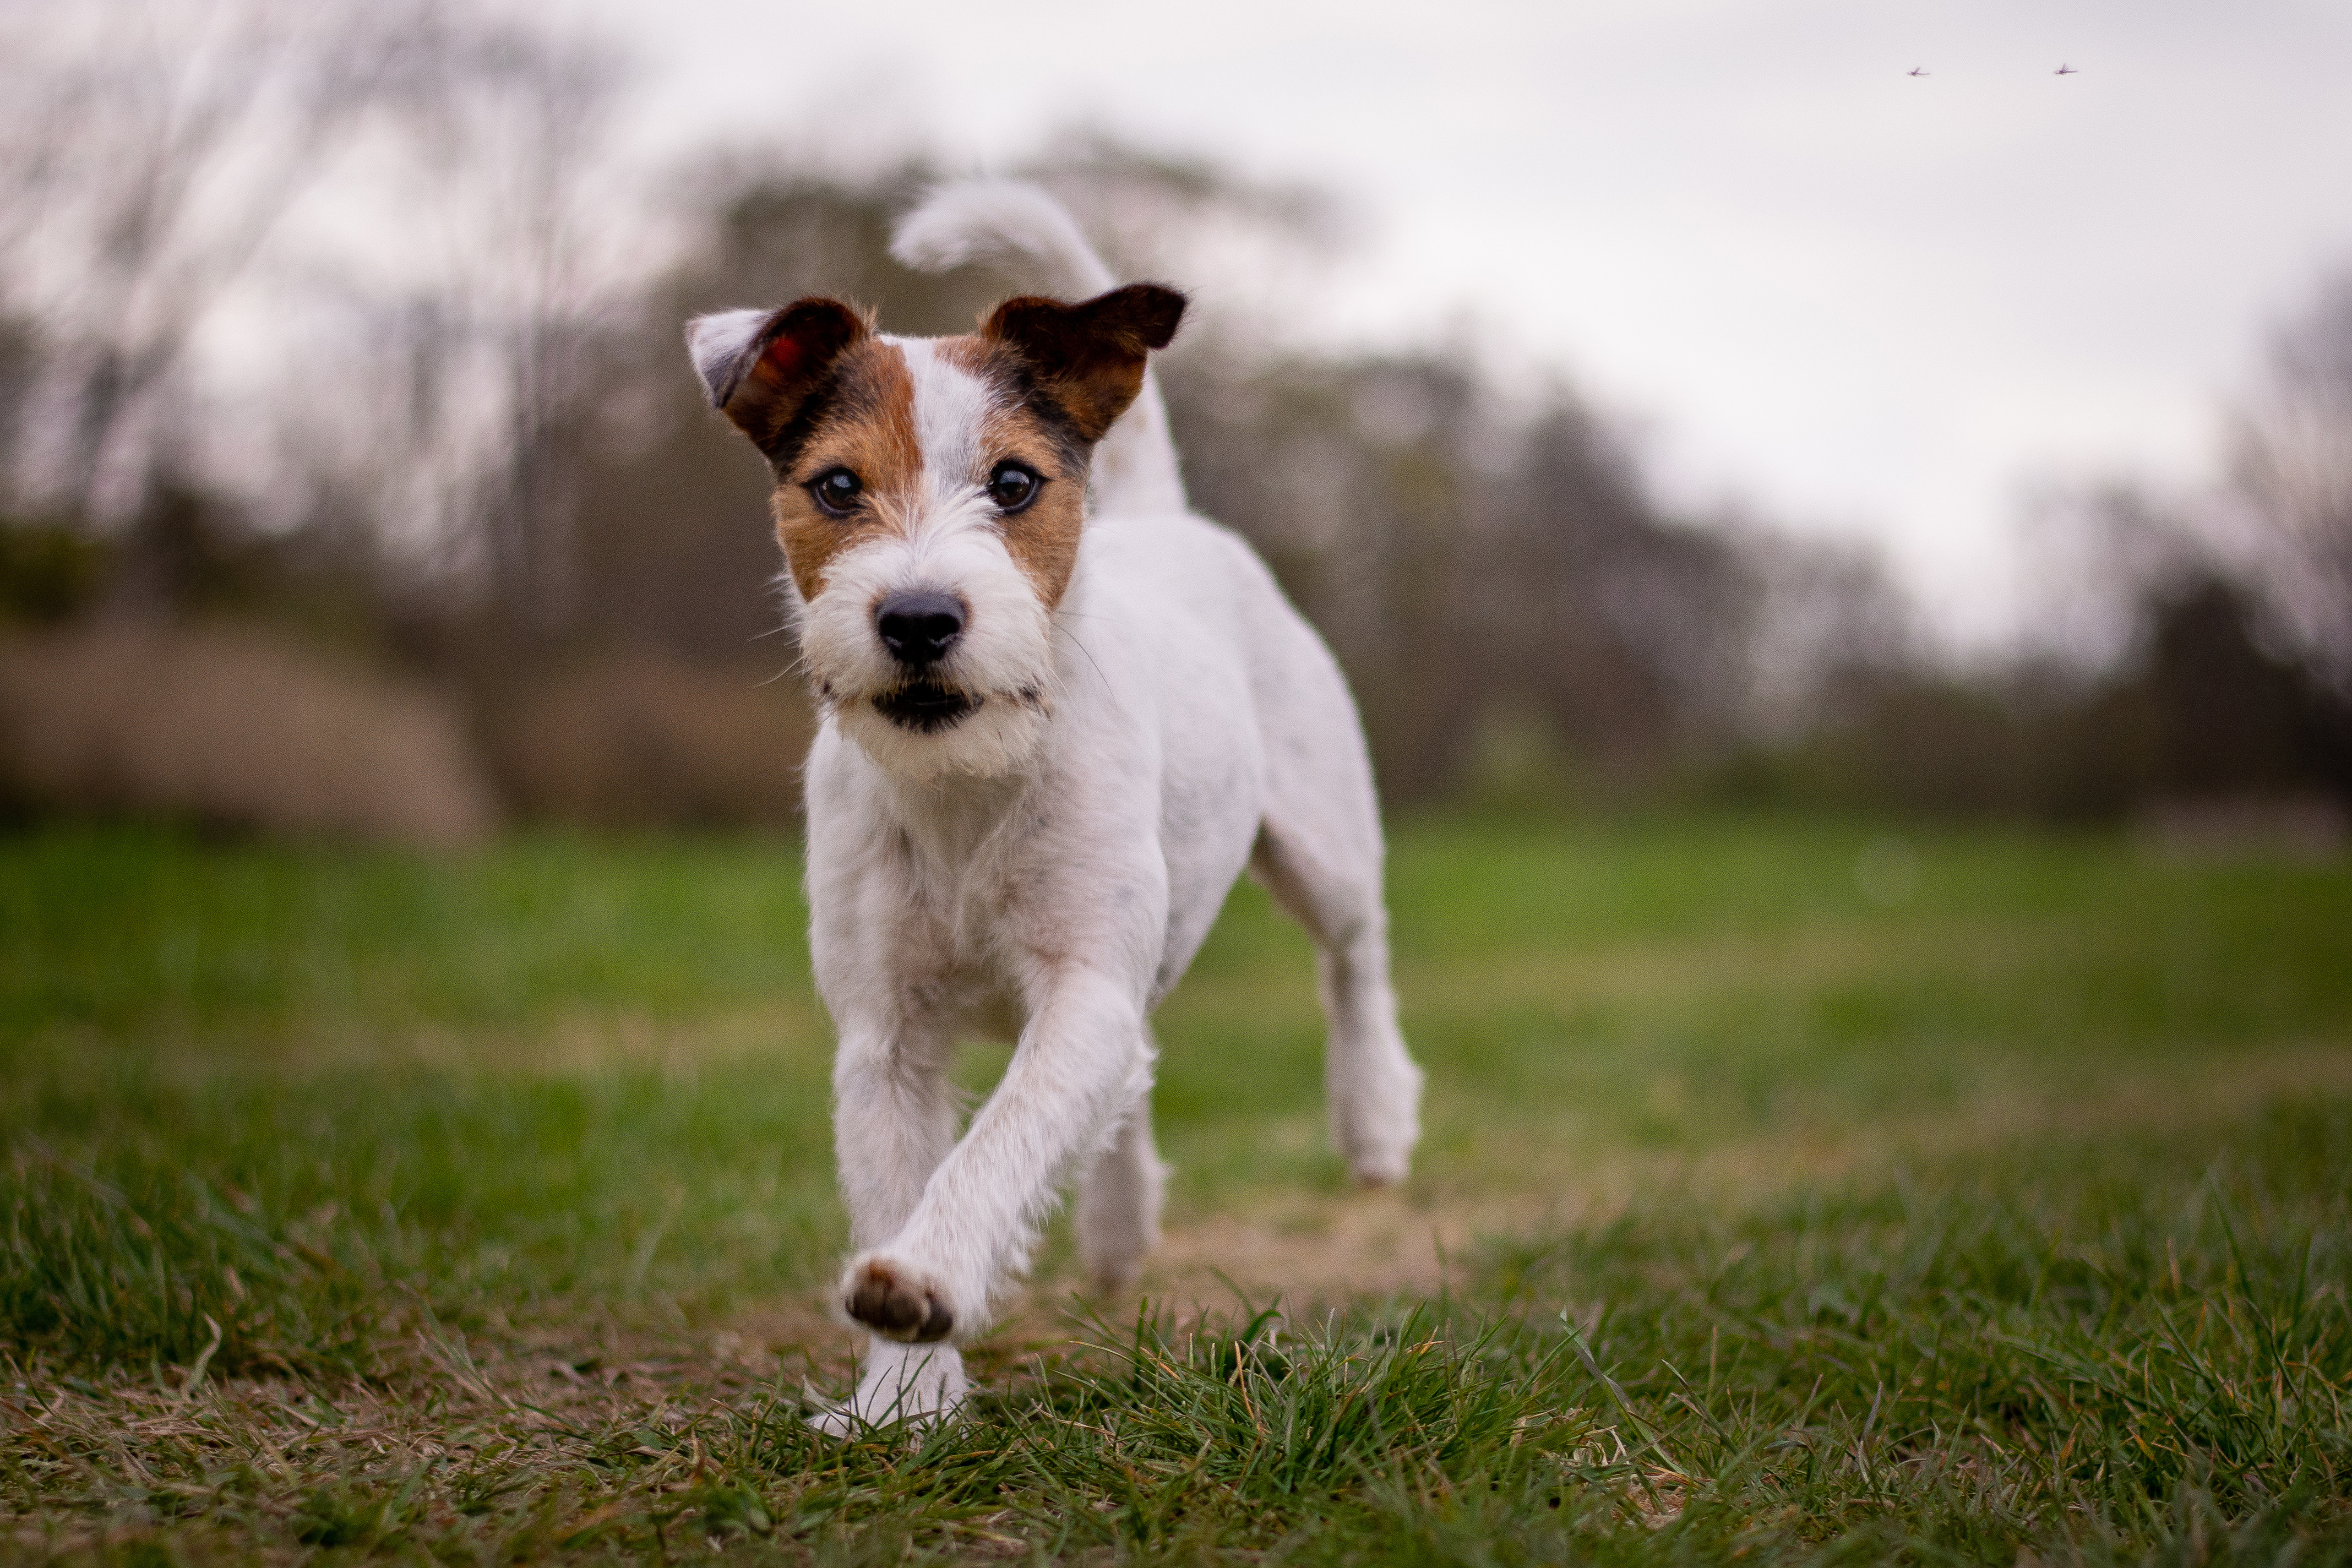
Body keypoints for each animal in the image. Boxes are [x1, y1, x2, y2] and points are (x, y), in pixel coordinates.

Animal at [687, 184, 1420, 1439]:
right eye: (836, 487)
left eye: (1015, 483)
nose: (919, 618)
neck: (966, 785)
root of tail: (1166, 515)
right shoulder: (885, 1036)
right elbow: (907, 1170)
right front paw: (902, 1398)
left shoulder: (1080, 984)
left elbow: (1005, 1136)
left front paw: (922, 1281)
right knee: (1138, 1068)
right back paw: (1119, 1226)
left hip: (1322, 844)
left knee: (1354, 955)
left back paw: (1371, 1118)